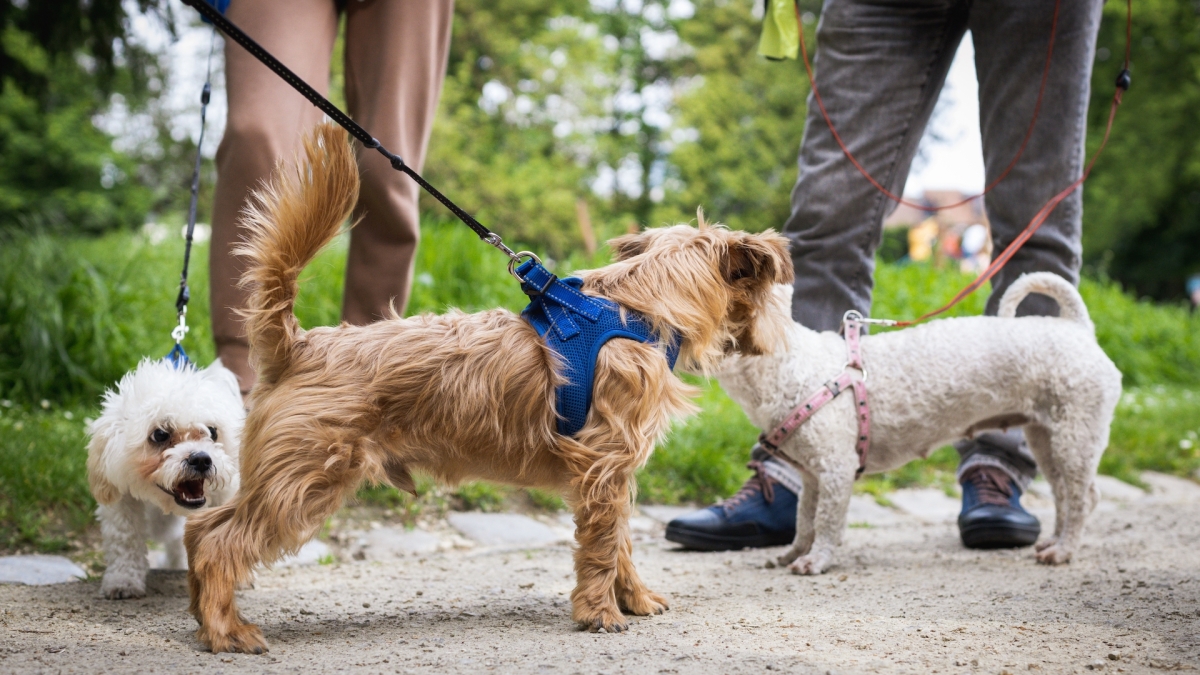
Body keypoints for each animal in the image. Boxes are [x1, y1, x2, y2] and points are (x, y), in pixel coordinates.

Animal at [88, 360, 243, 595]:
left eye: (212, 431)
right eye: (160, 434)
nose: (201, 459)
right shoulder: (120, 497)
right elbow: (125, 538)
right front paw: (123, 580)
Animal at [182, 123, 792, 648]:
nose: (781, 335)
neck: (636, 307)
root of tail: (300, 344)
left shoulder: (611, 472)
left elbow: (620, 541)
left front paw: (635, 599)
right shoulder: (605, 465)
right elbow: (603, 544)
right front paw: (601, 613)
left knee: (202, 529)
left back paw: (202, 616)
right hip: (305, 480)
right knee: (217, 540)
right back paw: (226, 630)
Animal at [710, 273, 1123, 571]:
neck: (791, 369)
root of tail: (1079, 329)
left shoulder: (836, 470)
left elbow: (827, 522)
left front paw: (815, 561)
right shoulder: (814, 476)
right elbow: (804, 520)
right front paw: (793, 554)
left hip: (1075, 435)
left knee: (1083, 497)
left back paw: (1064, 551)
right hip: (1045, 436)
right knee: (1064, 495)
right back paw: (1054, 542)